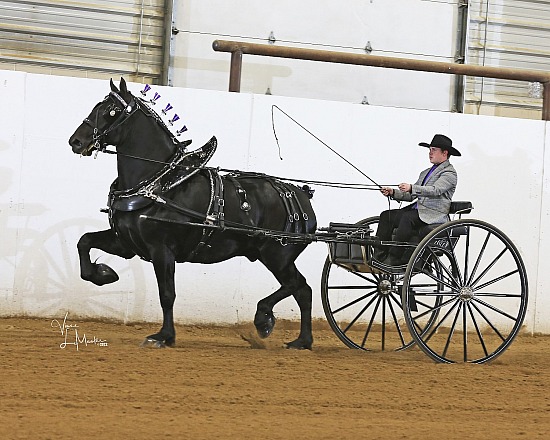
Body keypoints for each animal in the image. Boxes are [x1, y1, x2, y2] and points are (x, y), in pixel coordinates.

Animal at [68, 78, 320, 348]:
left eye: (111, 111)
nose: (76, 141)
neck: (159, 183)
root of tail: (301, 195)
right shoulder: (126, 243)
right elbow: (84, 241)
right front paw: (103, 274)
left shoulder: (162, 249)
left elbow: (167, 294)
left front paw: (164, 336)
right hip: (273, 256)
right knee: (302, 291)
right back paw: (301, 340)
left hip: (277, 255)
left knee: (298, 286)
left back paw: (266, 319)